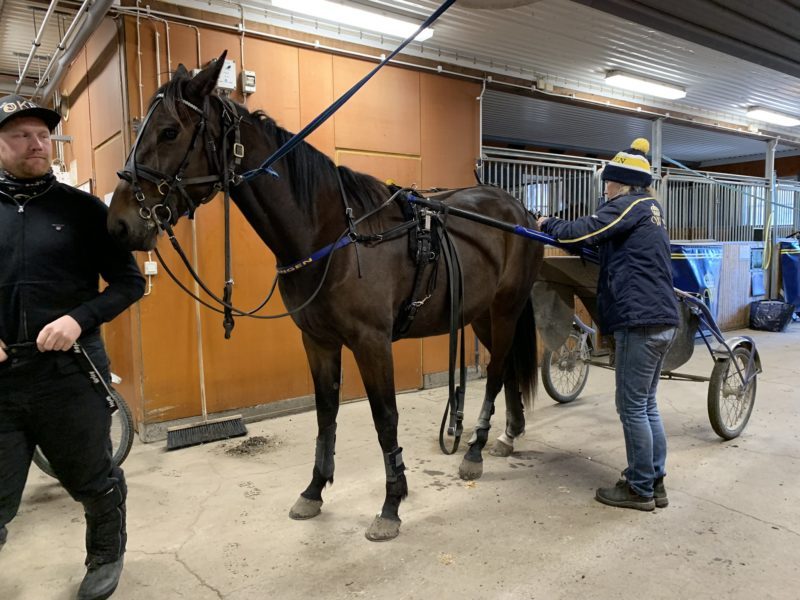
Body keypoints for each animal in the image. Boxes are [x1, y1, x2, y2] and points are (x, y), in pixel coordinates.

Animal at [108, 56, 544, 540]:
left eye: (168, 131)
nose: (120, 223)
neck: (334, 236)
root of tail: (522, 213)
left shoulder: (372, 343)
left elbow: (385, 418)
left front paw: (391, 505)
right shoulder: (317, 341)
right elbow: (325, 413)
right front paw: (314, 491)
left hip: (504, 311)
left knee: (497, 371)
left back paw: (476, 450)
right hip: (482, 316)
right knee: (505, 368)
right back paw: (506, 435)